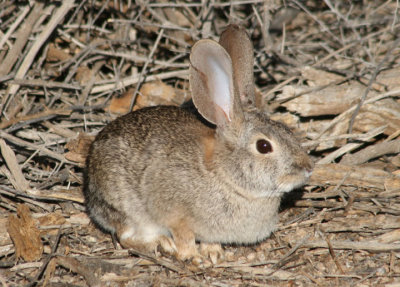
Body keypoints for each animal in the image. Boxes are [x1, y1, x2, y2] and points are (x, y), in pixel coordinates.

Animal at [84, 24, 314, 264]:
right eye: (264, 146)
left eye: (286, 129)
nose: (308, 168)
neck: (226, 176)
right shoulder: (175, 214)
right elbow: (183, 236)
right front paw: (192, 256)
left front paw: (214, 253)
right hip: (128, 209)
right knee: (125, 237)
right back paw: (162, 243)